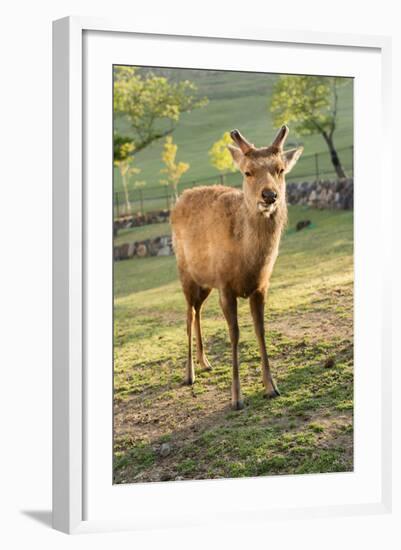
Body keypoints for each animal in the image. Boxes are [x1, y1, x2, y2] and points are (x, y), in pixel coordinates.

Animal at [170, 125, 302, 410]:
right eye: (247, 172)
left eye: (280, 169)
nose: (270, 195)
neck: (248, 262)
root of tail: (180, 198)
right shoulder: (226, 285)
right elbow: (235, 334)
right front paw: (236, 398)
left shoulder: (261, 286)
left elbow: (260, 330)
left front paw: (272, 387)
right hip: (185, 272)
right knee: (188, 315)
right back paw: (189, 374)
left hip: (205, 281)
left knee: (198, 310)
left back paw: (205, 362)